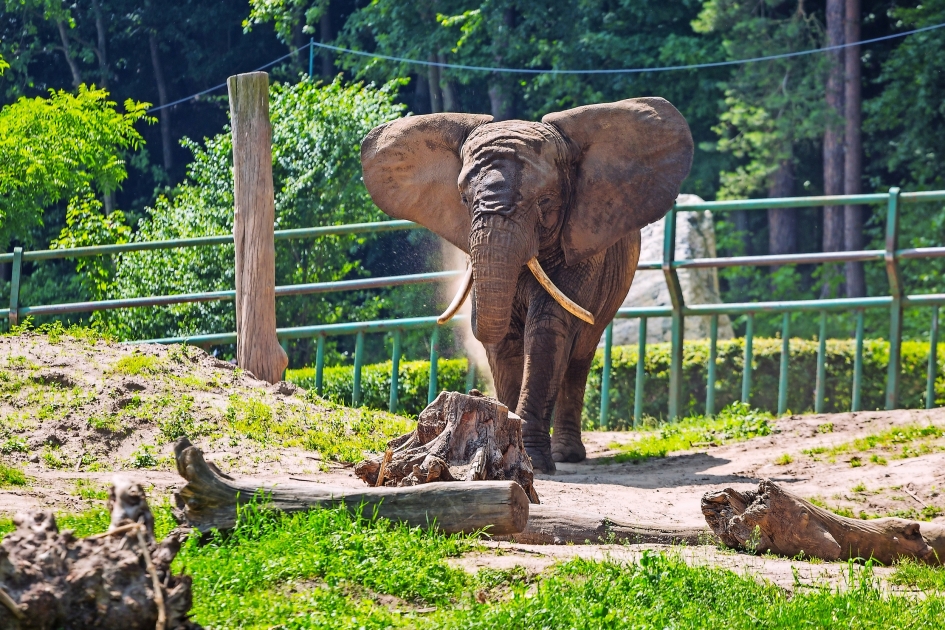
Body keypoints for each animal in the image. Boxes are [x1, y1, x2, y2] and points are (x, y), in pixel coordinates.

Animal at [362, 99, 692, 474]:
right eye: (464, 199)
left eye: (545, 201)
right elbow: (504, 337)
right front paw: (511, 436)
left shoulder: (582, 247)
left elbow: (547, 330)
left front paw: (535, 459)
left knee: (579, 357)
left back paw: (568, 455)